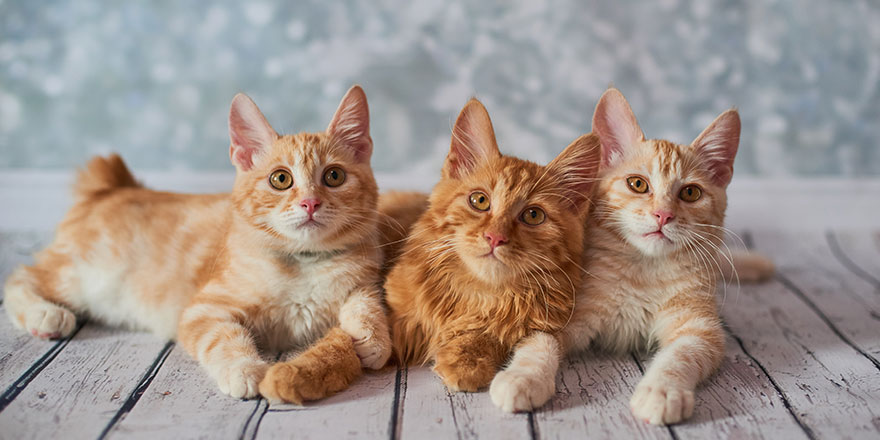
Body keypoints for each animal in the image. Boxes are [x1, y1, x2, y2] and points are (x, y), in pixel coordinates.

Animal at [2, 86, 388, 402]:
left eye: (334, 176)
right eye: (281, 179)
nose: (310, 203)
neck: (306, 262)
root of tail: (111, 187)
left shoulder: (365, 278)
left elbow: (367, 300)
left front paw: (374, 339)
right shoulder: (203, 309)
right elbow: (224, 338)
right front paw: (245, 370)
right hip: (83, 276)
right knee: (20, 277)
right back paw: (45, 314)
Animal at [386, 98, 604, 390]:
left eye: (533, 215)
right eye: (479, 201)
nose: (495, 237)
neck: (480, 294)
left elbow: (491, 335)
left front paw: (467, 358)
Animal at [488, 88, 768, 422]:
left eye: (690, 193)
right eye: (637, 184)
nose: (663, 215)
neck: (644, 270)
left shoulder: (700, 329)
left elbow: (681, 356)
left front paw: (662, 391)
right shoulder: (555, 308)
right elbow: (537, 344)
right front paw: (523, 377)